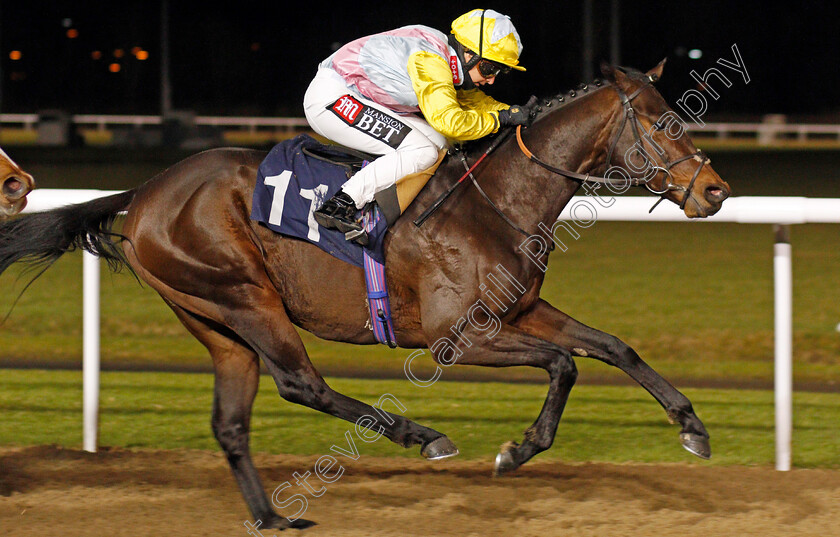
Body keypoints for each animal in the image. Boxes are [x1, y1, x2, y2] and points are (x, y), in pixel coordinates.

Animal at [0, 62, 728, 528]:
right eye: (665, 124)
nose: (716, 191)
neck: (497, 201)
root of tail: (146, 191)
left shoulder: (520, 309)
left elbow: (613, 347)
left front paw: (691, 426)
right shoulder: (456, 337)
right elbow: (565, 363)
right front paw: (516, 449)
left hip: (212, 318)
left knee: (231, 420)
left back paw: (271, 518)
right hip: (244, 296)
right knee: (301, 383)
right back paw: (421, 435)